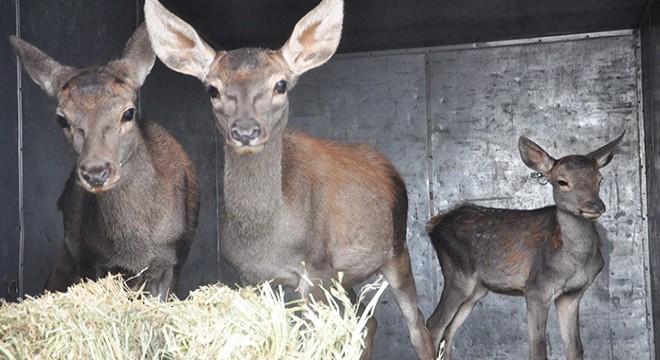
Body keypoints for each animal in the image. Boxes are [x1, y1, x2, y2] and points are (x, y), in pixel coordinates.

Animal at [9, 23, 199, 302]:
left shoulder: (173, 260)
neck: (136, 247)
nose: (96, 172)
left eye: (128, 112)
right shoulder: (91, 258)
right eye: (61, 119)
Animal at [143, 0, 434, 358]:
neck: (270, 236)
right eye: (213, 89)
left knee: (417, 325)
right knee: (368, 322)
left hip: (397, 249)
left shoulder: (315, 267)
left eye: (280, 84)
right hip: (345, 278)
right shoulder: (254, 276)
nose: (245, 131)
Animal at [428, 133, 624, 360]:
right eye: (562, 181)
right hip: (458, 275)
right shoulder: (536, 289)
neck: (573, 262)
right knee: (434, 325)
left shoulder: (572, 294)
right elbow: (538, 349)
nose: (595, 206)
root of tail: (433, 224)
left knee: (449, 332)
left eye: (599, 179)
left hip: (477, 289)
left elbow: (576, 349)